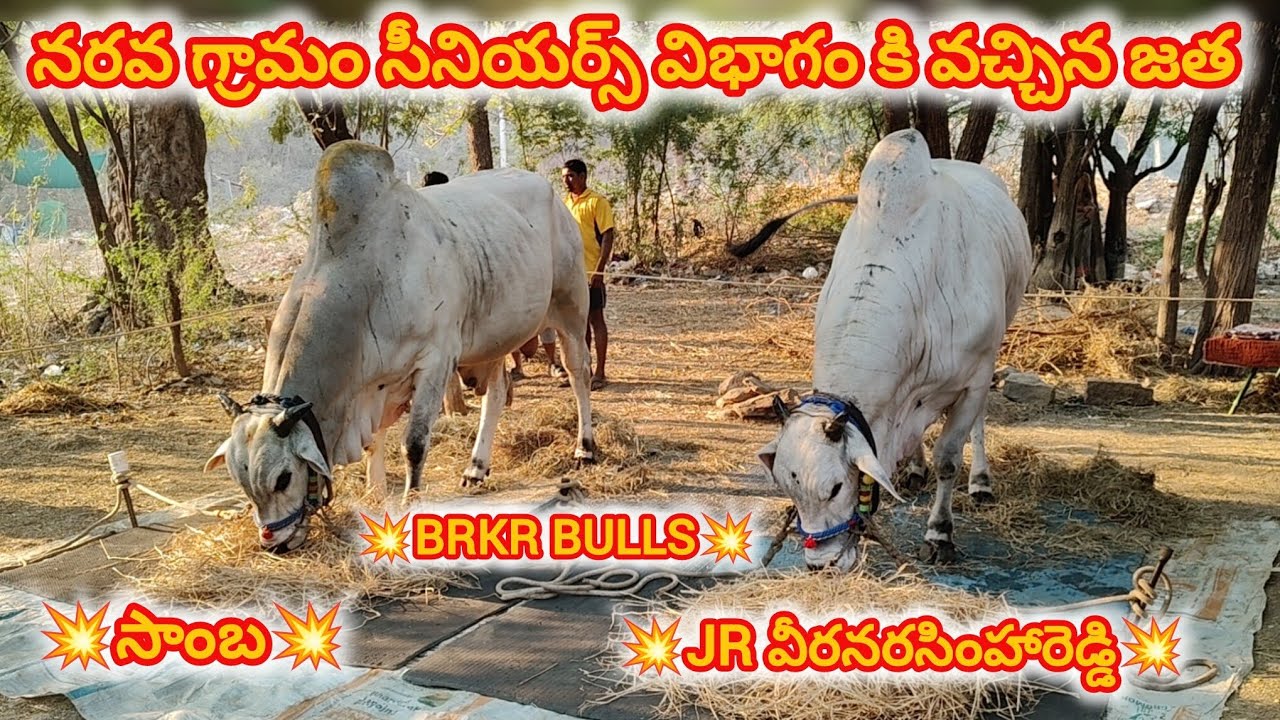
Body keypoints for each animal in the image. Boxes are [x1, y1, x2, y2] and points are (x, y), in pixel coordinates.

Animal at [204, 140, 596, 553]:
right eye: (241, 482)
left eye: (283, 478)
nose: (273, 542)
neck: (366, 280)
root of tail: (545, 186)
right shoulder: (377, 384)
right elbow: (374, 443)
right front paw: (376, 496)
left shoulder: (436, 361)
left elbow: (414, 443)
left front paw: (412, 500)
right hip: (493, 337)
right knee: (497, 390)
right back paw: (476, 468)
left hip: (570, 306)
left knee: (579, 373)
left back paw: (584, 447)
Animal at [733, 129, 1032, 571]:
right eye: (789, 490)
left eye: (836, 488)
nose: (821, 564)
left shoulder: (974, 379)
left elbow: (949, 457)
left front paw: (940, 533)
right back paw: (915, 469)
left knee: (978, 424)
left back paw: (980, 482)